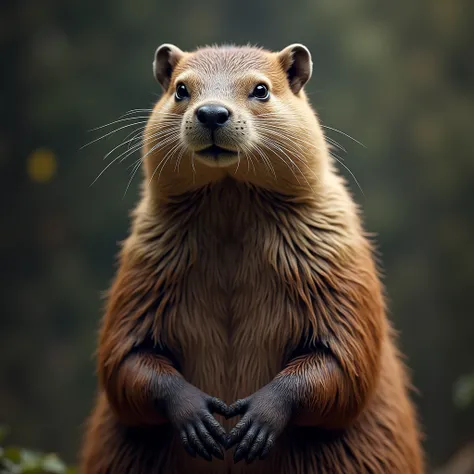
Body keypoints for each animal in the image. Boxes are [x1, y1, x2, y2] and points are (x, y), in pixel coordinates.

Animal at [79, 44, 424, 474]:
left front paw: (260, 417)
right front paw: (196, 416)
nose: (212, 112)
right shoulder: (141, 274)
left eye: (261, 89)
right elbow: (122, 362)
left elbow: (348, 365)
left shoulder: (340, 274)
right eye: (181, 89)